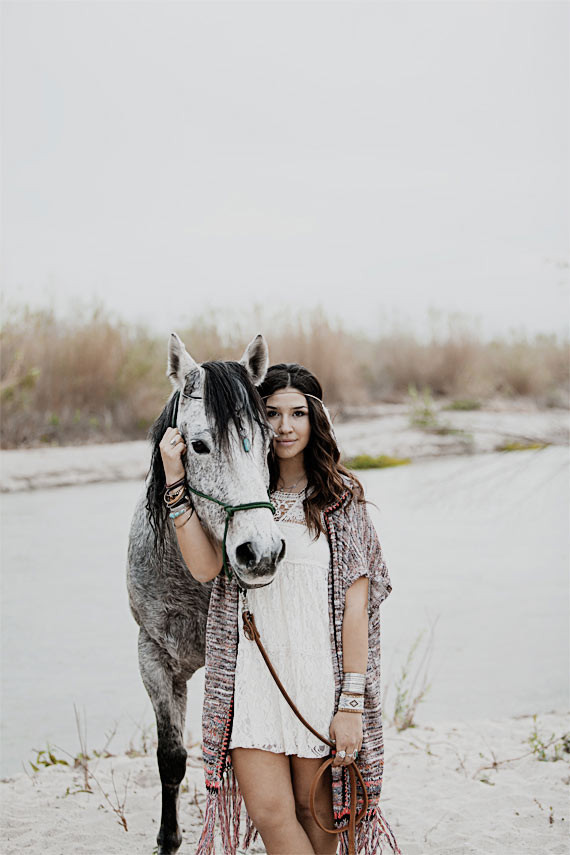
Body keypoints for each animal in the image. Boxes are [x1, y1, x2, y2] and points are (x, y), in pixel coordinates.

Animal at [126, 331, 285, 855]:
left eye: (269, 442)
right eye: (198, 445)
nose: (262, 552)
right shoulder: (153, 657)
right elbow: (171, 756)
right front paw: (167, 839)